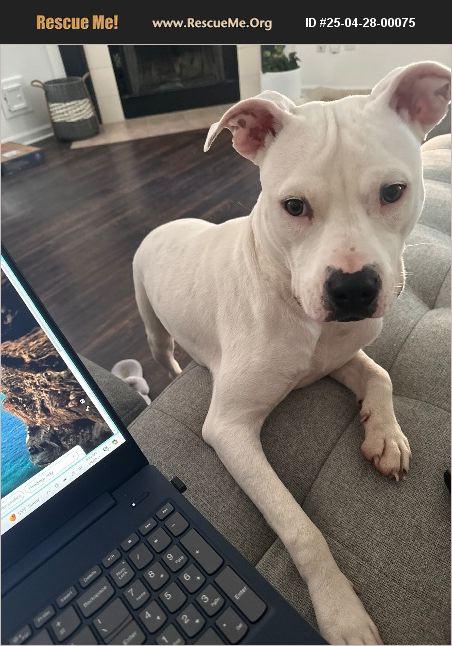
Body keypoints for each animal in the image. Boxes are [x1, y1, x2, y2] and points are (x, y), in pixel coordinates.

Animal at [133, 62, 451, 644]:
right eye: (294, 207)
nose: (353, 289)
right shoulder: (230, 428)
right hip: (150, 319)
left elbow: (381, 377)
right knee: (161, 350)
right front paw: (341, 610)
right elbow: (302, 530)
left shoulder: (340, 356)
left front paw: (385, 434)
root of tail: (169, 224)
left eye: (394, 191)